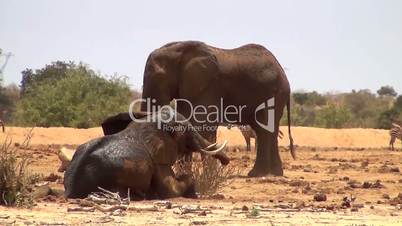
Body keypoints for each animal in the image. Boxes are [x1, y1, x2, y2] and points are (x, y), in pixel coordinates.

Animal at [141, 40, 296, 177]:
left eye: (159, 77)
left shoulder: (209, 86)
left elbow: (202, 125)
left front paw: (205, 177)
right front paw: (185, 176)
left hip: (274, 95)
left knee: (265, 130)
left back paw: (259, 174)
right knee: (265, 131)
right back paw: (270, 174)